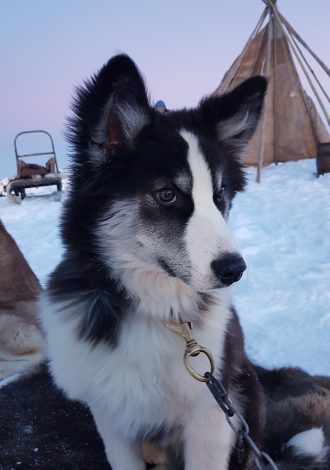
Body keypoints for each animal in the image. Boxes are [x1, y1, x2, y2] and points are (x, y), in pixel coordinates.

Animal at [40, 53, 268, 468]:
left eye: (220, 196)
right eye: (166, 194)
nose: (234, 269)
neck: (157, 311)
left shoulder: (212, 417)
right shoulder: (112, 416)